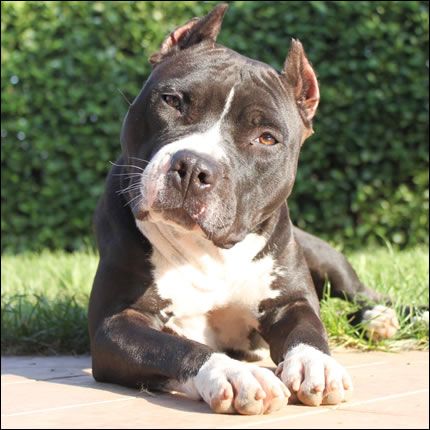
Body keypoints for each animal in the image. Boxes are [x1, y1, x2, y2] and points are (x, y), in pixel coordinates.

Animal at [89, 2, 402, 414]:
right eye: (172, 101)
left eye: (266, 138)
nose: (193, 167)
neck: (207, 252)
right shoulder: (115, 324)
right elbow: (177, 347)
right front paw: (236, 374)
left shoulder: (290, 301)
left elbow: (309, 328)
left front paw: (316, 364)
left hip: (326, 258)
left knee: (360, 294)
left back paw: (381, 317)